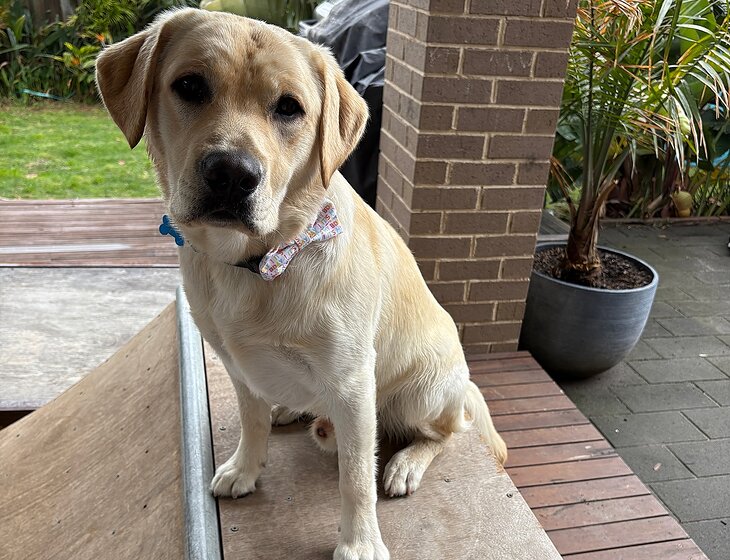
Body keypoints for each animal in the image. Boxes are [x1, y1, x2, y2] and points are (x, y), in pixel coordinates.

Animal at [96, 9, 506, 559]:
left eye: (289, 108)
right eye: (190, 85)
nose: (232, 174)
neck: (259, 261)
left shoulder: (353, 385)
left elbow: (355, 476)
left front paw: (360, 542)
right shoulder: (237, 364)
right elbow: (252, 420)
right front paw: (245, 468)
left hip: (422, 392)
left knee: (448, 432)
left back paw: (405, 463)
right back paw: (292, 407)